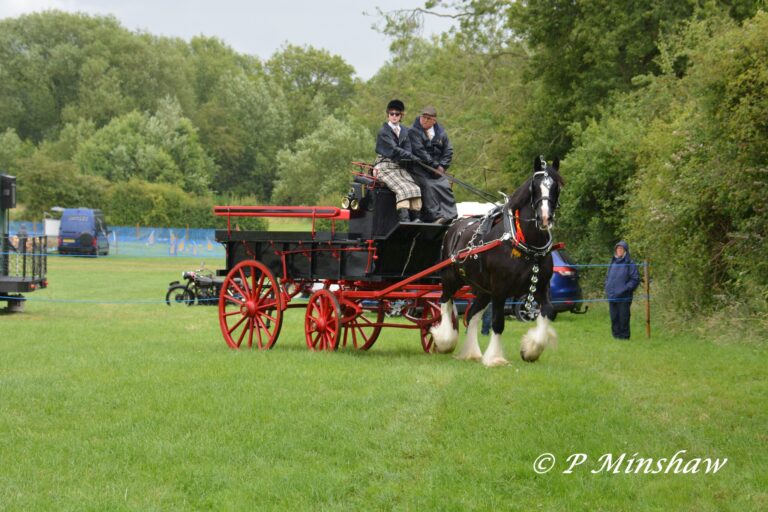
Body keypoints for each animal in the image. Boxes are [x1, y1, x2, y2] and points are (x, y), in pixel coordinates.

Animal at [430, 155, 564, 367]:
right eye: (534, 186)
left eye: (556, 186)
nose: (545, 217)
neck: (525, 243)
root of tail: (454, 226)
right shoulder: (500, 289)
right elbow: (498, 323)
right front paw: (494, 358)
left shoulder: (542, 287)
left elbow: (548, 312)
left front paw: (530, 350)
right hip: (451, 279)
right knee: (445, 303)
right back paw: (445, 340)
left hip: (483, 290)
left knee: (472, 314)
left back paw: (471, 352)